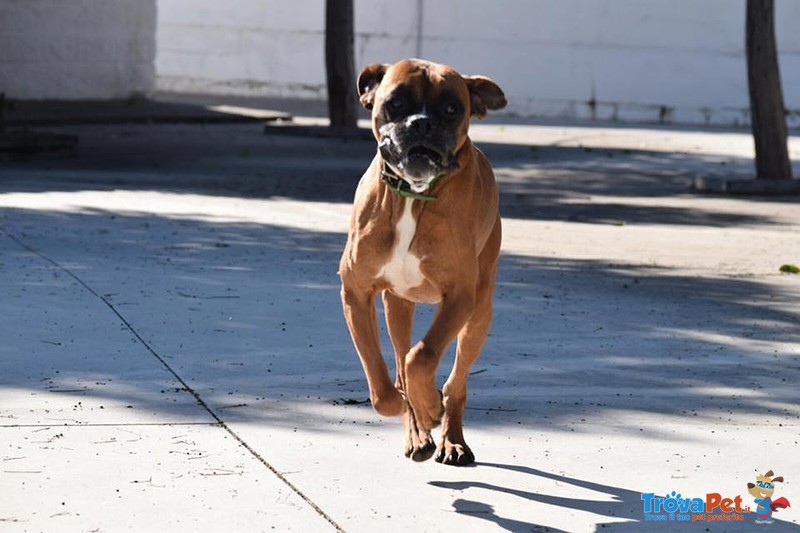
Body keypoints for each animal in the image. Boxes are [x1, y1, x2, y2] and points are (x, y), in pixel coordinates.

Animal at [340, 59, 506, 466]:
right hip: (397, 308)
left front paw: (431, 406)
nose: (422, 123)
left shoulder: (459, 298)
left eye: (451, 109)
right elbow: (383, 383)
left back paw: (450, 436)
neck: (413, 198)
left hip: (478, 315)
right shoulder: (356, 294)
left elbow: (423, 356)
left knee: (454, 383)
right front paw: (414, 412)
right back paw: (419, 431)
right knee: (400, 366)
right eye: (396, 103)